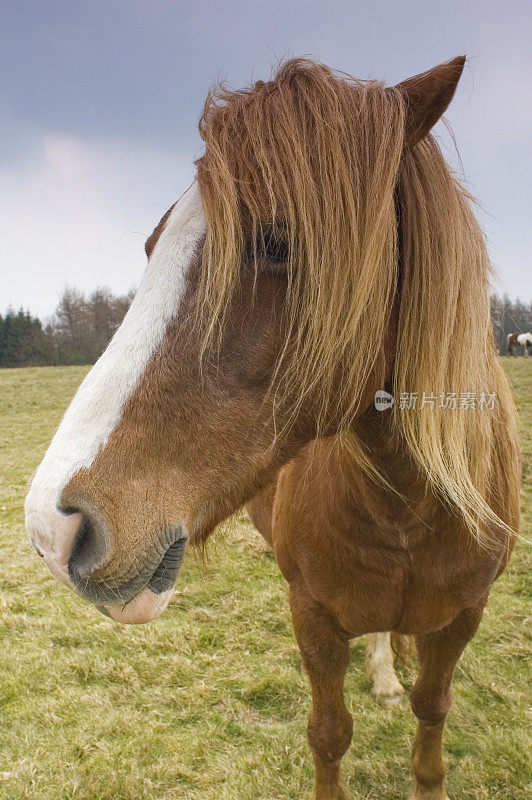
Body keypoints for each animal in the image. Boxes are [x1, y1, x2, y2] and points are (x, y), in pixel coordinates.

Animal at [25, 57, 520, 800]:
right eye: (151, 245)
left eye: (276, 242)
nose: (52, 528)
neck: (406, 509)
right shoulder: (313, 616)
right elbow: (329, 735)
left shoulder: (462, 619)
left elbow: (433, 722)